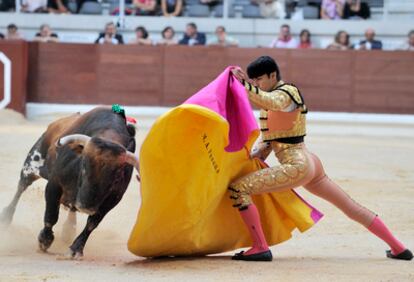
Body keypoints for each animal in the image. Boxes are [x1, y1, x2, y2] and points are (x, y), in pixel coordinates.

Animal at [0, 107, 139, 258]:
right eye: (83, 165)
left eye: (117, 177)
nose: (86, 207)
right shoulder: (54, 184)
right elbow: (51, 214)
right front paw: (45, 240)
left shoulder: (111, 201)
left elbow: (92, 223)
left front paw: (76, 248)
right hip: (31, 163)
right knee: (21, 187)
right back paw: (5, 218)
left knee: (72, 208)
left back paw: (69, 229)